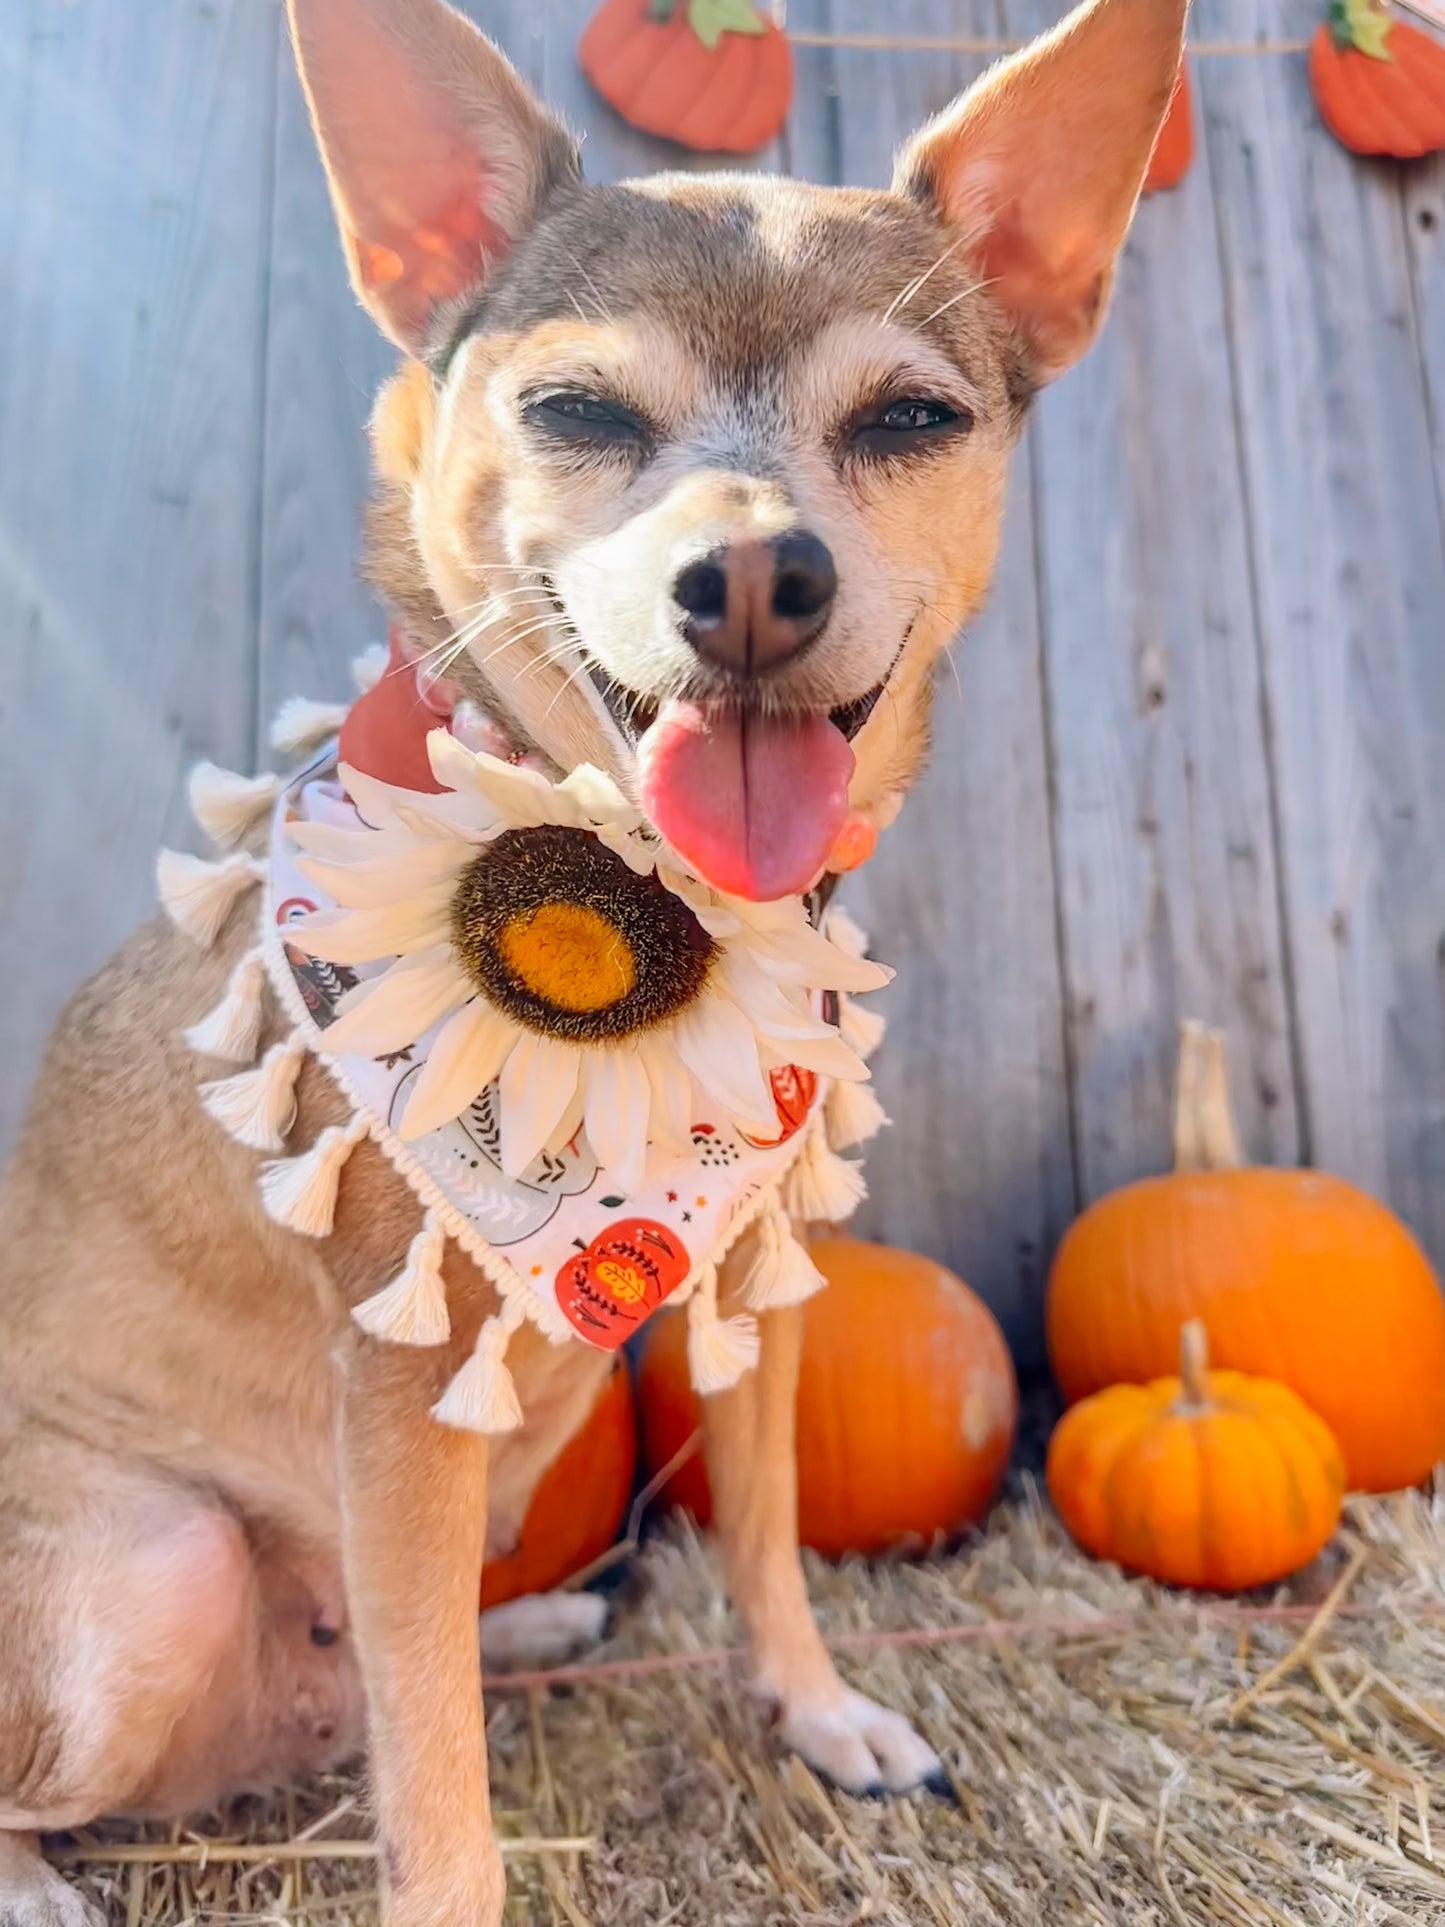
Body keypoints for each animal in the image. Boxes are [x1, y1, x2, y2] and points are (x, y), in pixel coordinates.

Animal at [0, 0, 1186, 1919]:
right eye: (573, 410)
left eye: (912, 417)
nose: (757, 572)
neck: (657, 904)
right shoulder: (402, 1400)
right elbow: (441, 1799)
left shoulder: (762, 1282)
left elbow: (766, 1534)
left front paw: (816, 1708)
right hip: (158, 1569)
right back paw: (40, 1876)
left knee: (395, 1669)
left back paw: (542, 1618)